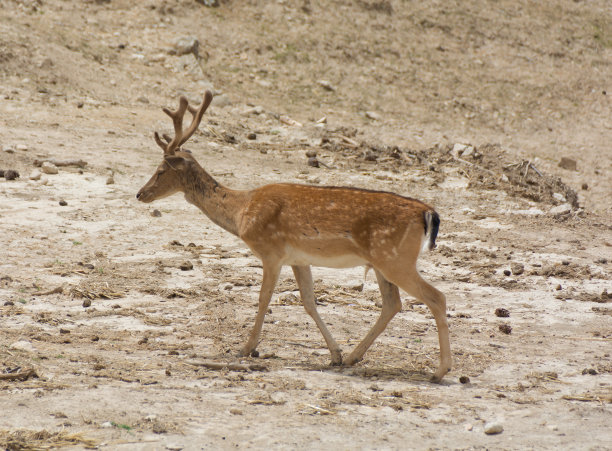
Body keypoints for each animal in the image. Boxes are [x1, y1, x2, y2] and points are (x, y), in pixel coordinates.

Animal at [140, 93, 454, 384]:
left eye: (161, 170)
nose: (140, 193)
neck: (242, 212)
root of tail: (427, 212)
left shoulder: (271, 251)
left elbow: (264, 298)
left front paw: (246, 348)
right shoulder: (298, 258)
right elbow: (308, 301)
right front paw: (335, 354)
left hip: (396, 259)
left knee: (436, 297)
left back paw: (439, 371)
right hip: (382, 261)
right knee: (393, 304)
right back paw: (353, 357)